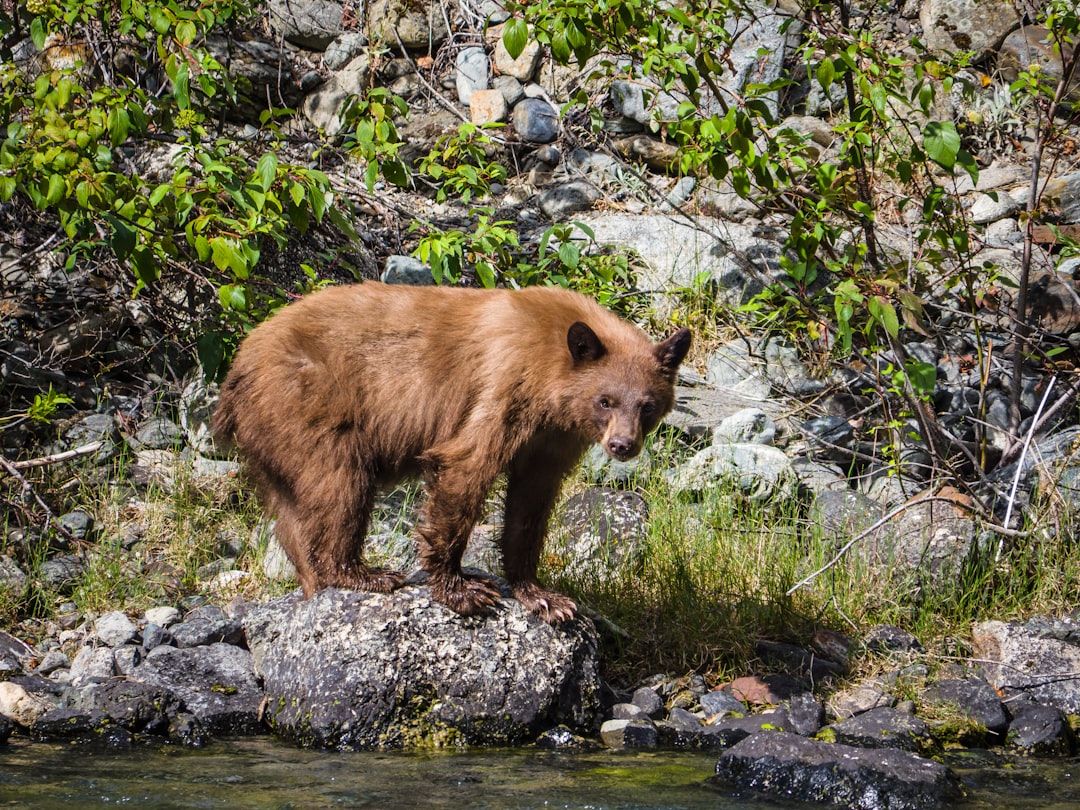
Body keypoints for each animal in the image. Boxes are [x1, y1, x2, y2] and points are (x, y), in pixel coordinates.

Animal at [213, 281, 690, 622]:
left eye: (647, 405)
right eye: (606, 400)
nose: (622, 445)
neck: (550, 370)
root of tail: (238, 366)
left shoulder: (552, 436)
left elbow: (530, 503)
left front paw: (543, 596)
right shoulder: (503, 385)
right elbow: (467, 467)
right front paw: (462, 590)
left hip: (274, 437)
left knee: (291, 511)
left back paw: (315, 582)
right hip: (310, 403)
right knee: (339, 485)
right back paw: (364, 574)